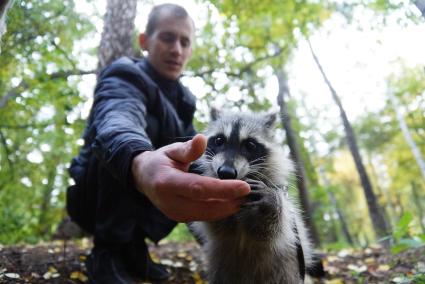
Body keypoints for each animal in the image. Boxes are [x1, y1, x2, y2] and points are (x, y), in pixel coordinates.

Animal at [192, 109, 314, 284]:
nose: (226, 173)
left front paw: (271, 202)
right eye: (219, 140)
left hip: (287, 273)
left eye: (250, 145)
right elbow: (218, 227)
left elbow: (269, 232)